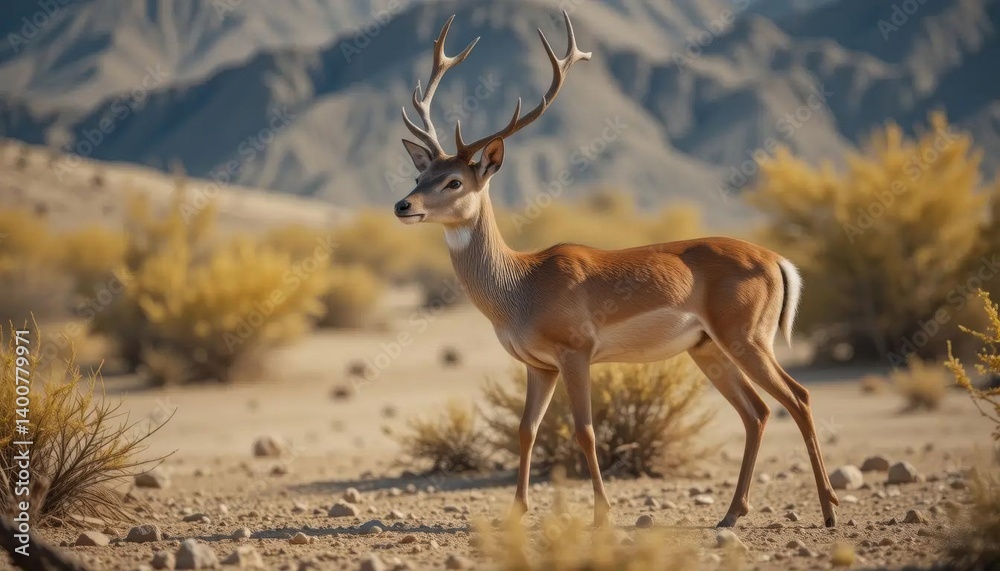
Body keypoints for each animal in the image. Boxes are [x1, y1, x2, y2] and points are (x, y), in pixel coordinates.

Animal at [393, 12, 840, 529]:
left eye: (454, 180)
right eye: (419, 174)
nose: (404, 206)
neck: (520, 284)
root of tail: (776, 259)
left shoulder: (575, 356)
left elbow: (584, 431)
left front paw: (602, 513)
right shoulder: (537, 366)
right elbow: (526, 431)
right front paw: (516, 512)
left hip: (747, 341)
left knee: (798, 398)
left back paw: (828, 511)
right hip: (708, 350)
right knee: (759, 413)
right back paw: (731, 514)